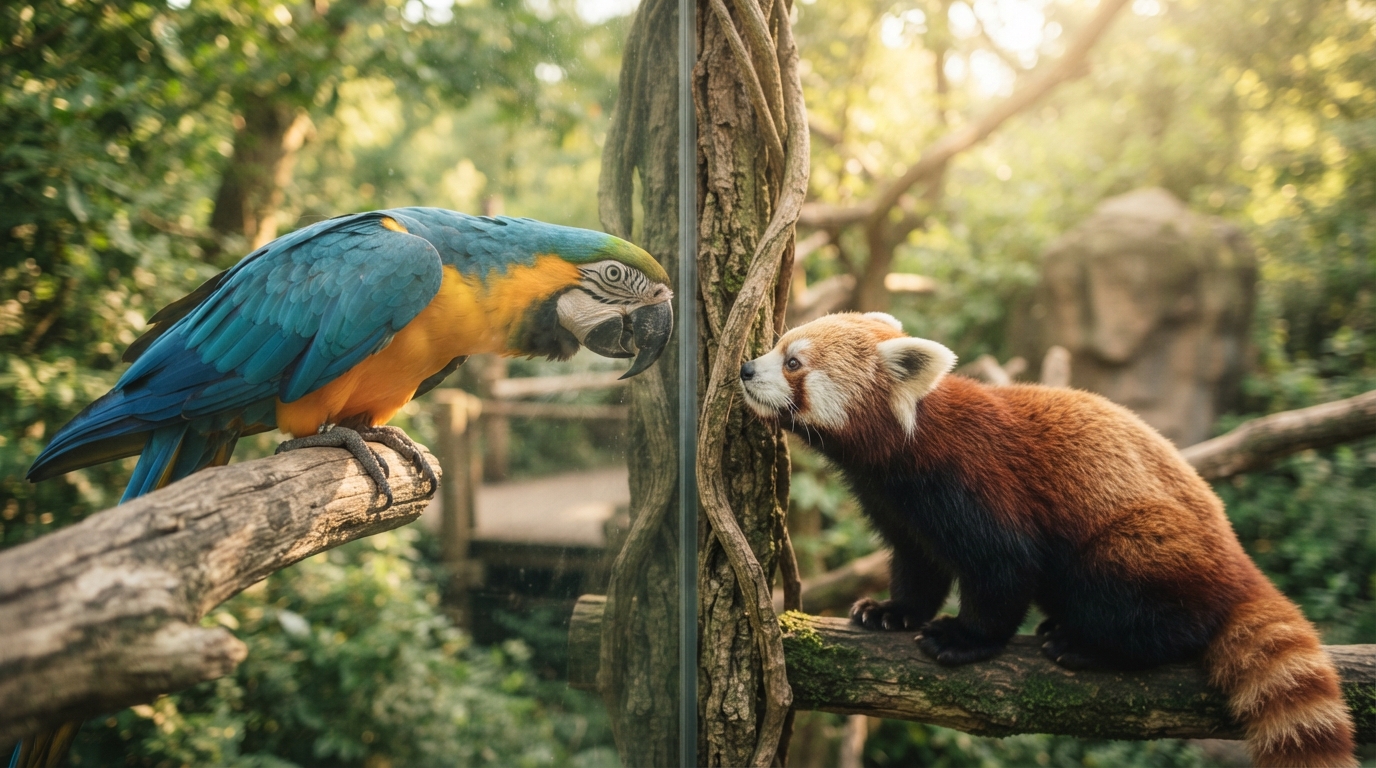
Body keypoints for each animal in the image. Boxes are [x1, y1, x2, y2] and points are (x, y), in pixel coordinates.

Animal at [738, 311, 1355, 768]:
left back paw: (1090, 645)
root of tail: (1239, 562)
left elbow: (1005, 569)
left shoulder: (976, 482)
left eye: (793, 362)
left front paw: (964, 638)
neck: (904, 447)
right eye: (777, 345)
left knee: (1155, 612)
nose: (744, 368)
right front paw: (894, 612)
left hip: (1140, 546)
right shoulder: (899, 508)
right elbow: (919, 564)